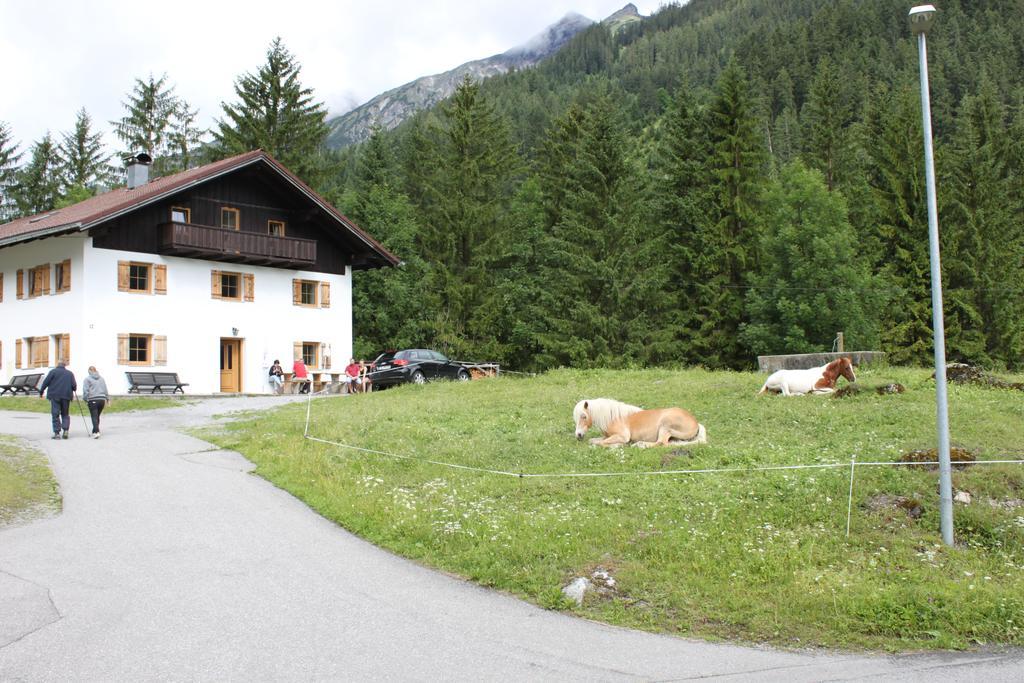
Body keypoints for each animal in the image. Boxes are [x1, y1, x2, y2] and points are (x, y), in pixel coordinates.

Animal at [573, 397, 708, 450]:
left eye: (584, 416)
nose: (578, 435)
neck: (613, 417)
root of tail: (696, 422)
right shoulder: (608, 436)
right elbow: (594, 441)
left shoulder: (622, 436)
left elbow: (600, 443)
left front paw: (617, 446)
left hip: (665, 425)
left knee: (661, 443)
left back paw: (640, 445)